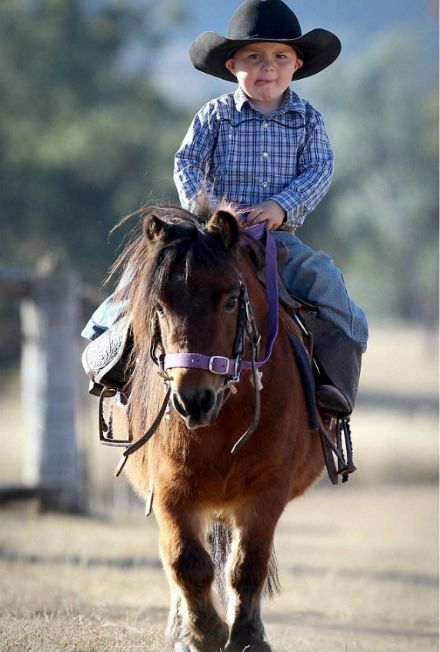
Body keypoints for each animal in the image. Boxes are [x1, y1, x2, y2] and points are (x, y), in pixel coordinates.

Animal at [110, 205, 324, 652]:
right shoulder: (170, 490)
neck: (225, 417)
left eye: (230, 300)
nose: (193, 399)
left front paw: (248, 636)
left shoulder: (267, 490)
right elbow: (185, 562)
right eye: (159, 305)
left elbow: (247, 566)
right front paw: (203, 633)